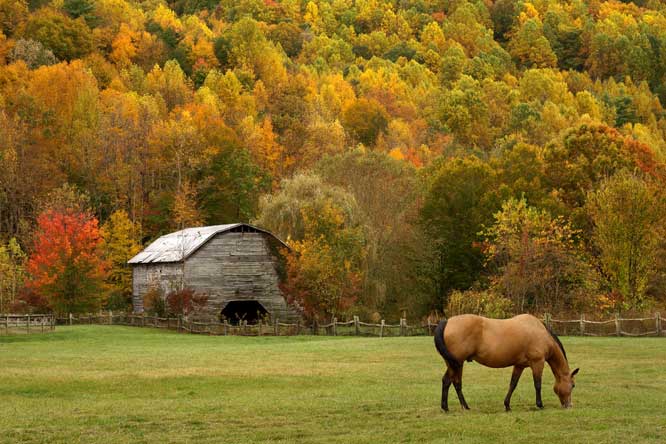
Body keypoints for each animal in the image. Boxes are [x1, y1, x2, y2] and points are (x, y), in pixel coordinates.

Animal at [434, 314, 579, 411]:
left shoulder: (520, 365)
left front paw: (507, 405)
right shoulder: (538, 362)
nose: (570, 405)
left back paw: (464, 406)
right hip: (456, 363)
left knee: (455, 383)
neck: (540, 333)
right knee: (448, 381)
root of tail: (447, 321)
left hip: (456, 363)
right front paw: (540, 404)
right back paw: (446, 408)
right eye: (573, 385)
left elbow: (513, 384)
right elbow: (537, 384)